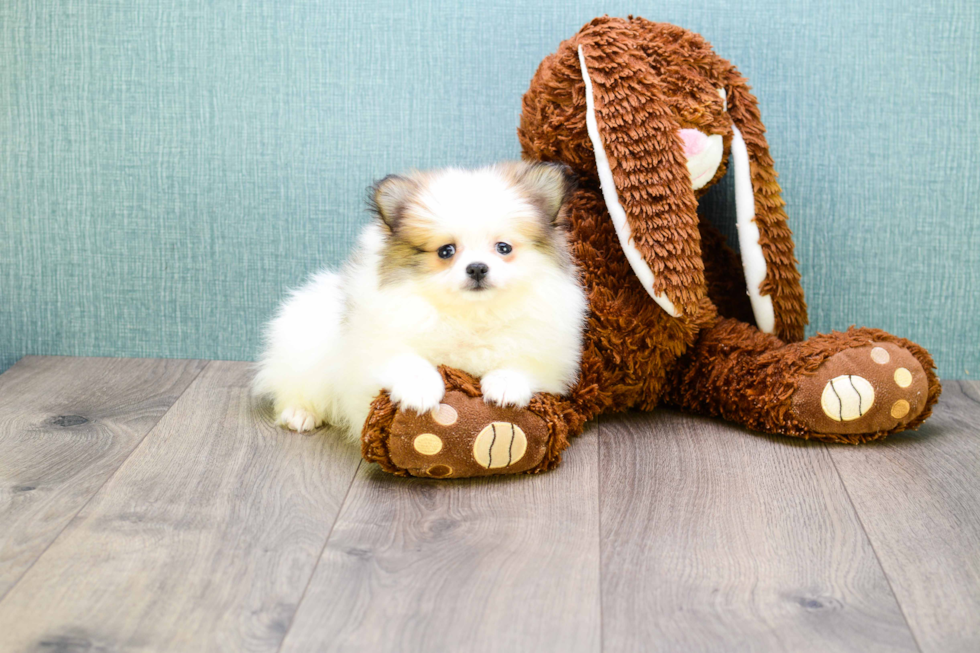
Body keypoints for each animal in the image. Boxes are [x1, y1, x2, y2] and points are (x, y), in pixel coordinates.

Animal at [255, 160, 588, 440]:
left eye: (503, 248)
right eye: (446, 251)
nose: (477, 268)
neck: (470, 315)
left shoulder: (546, 348)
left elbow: (521, 360)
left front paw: (505, 385)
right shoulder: (378, 344)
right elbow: (409, 361)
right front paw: (420, 390)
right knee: (292, 387)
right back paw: (299, 414)